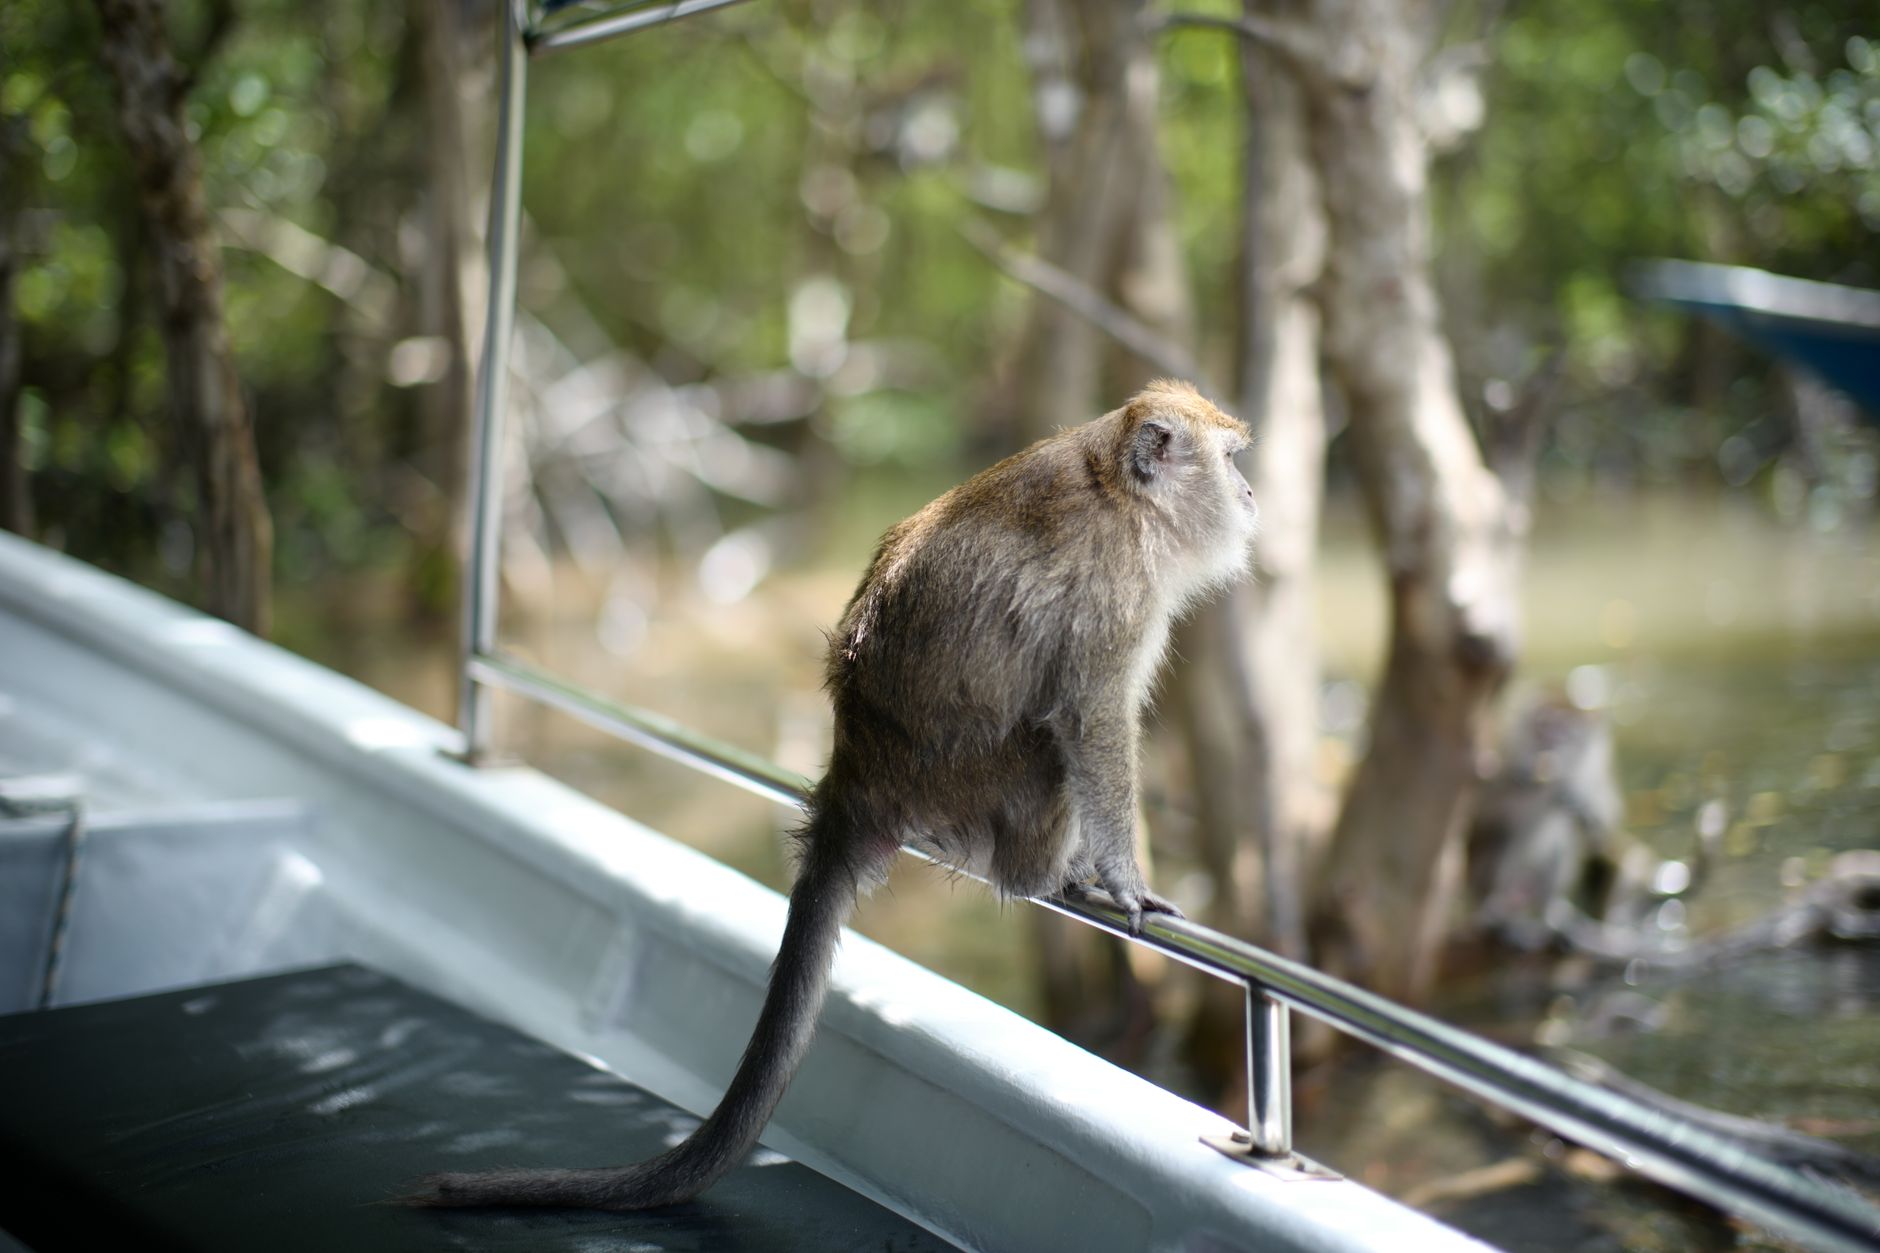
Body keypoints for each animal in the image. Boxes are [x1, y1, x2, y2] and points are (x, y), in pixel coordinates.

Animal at [411, 379, 1259, 1212]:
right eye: (1230, 458)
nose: (1251, 492)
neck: (1120, 489)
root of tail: (856, 776)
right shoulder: (1117, 591)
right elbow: (1090, 717)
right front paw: (1124, 879)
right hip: (982, 782)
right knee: (1049, 748)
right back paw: (1045, 871)